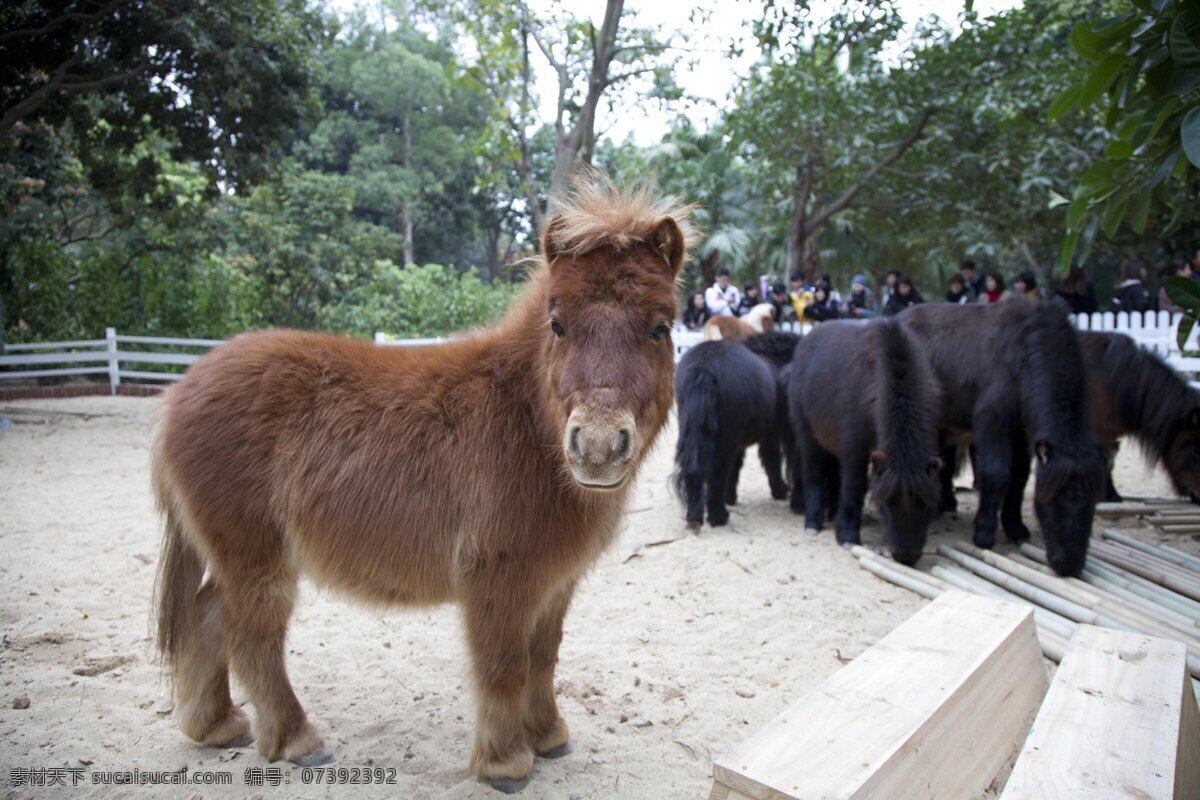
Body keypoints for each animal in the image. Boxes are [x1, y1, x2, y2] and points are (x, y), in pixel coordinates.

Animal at [151, 179, 691, 793]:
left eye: (660, 327)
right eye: (558, 324)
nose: (598, 447)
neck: (526, 422)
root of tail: (180, 389)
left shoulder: (554, 583)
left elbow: (543, 657)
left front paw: (549, 736)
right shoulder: (498, 578)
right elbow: (504, 665)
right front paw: (506, 763)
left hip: (244, 559)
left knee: (206, 618)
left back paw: (216, 726)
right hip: (257, 562)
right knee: (252, 641)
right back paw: (297, 740)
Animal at [672, 331, 799, 528]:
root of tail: (703, 369)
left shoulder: (740, 440)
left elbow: (736, 467)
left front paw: (730, 497)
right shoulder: (769, 435)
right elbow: (772, 461)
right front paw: (780, 490)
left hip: (695, 433)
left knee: (695, 469)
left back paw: (694, 516)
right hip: (724, 439)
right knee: (717, 472)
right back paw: (718, 516)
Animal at [788, 319, 942, 565]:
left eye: (926, 504)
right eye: (888, 503)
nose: (905, 556)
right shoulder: (854, 448)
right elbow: (854, 486)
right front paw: (848, 535)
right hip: (808, 434)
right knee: (813, 473)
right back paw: (813, 521)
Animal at [899, 300, 1106, 576]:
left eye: (1093, 500)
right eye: (1056, 496)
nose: (1069, 565)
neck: (1026, 353)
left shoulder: (1022, 434)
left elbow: (1019, 478)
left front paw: (1015, 527)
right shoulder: (994, 421)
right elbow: (996, 475)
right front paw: (984, 533)